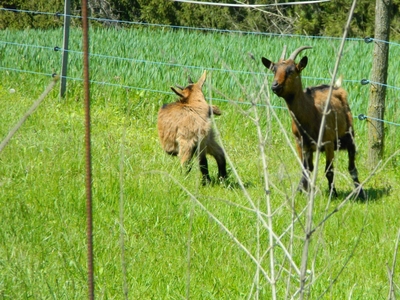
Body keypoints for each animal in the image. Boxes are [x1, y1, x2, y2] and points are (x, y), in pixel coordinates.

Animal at [260, 45, 368, 198]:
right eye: (274, 69)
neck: (310, 113)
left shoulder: (328, 142)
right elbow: (305, 169)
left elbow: (329, 170)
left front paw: (333, 193)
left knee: (352, 166)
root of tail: (336, 86)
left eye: (291, 71)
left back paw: (360, 192)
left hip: (349, 135)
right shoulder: (301, 143)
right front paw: (301, 191)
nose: (275, 86)